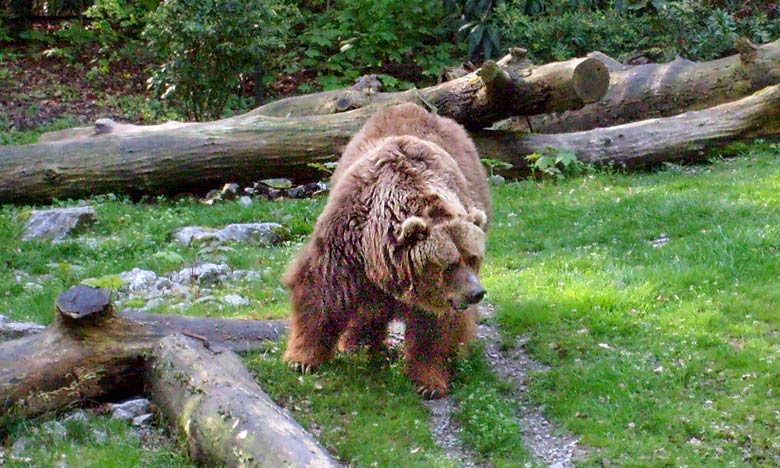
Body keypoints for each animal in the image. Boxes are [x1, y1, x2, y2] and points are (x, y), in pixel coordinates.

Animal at [284, 103, 490, 398]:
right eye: (449, 263)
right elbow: (320, 291)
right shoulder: (345, 241)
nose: (476, 293)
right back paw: (356, 344)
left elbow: (435, 327)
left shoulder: (440, 295)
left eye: (473, 258)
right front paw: (302, 359)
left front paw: (429, 382)